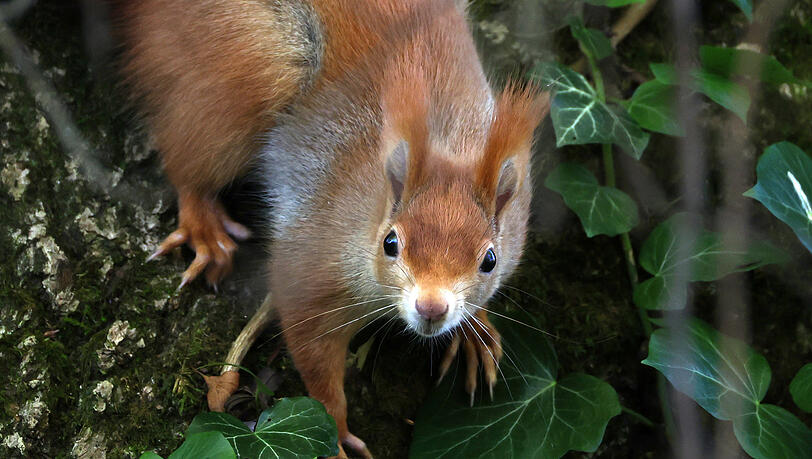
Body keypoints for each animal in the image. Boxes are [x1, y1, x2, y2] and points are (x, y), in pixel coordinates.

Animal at [114, 0, 548, 457]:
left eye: (490, 260)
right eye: (390, 243)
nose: (432, 308)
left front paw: (477, 331)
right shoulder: (311, 259)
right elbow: (314, 356)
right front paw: (336, 433)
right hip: (244, 71)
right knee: (189, 160)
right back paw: (205, 229)